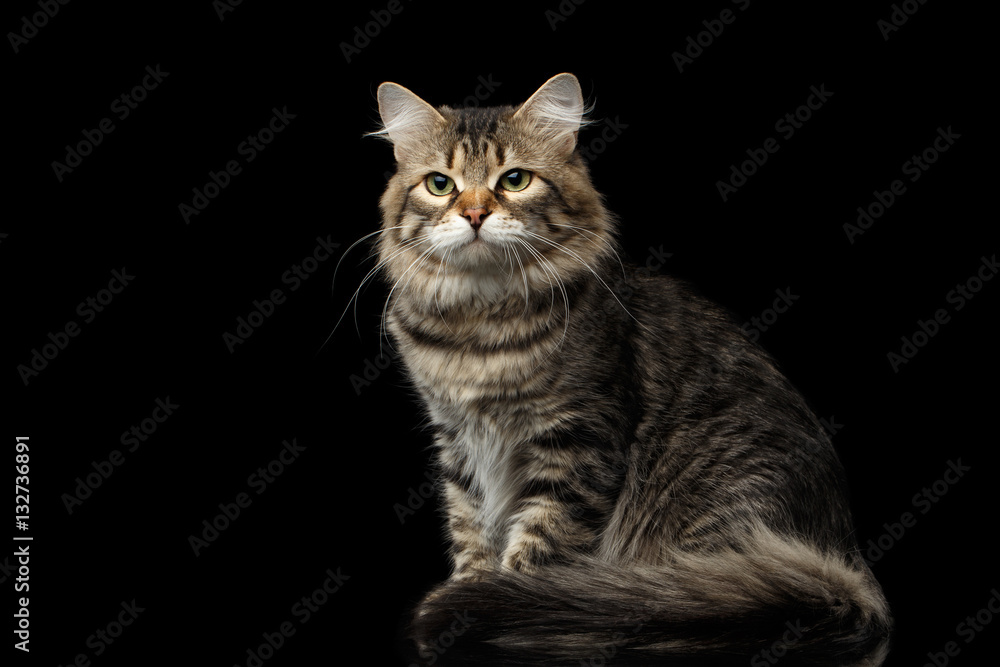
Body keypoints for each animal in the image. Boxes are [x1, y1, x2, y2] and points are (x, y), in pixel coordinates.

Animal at [368, 70, 892, 664]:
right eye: (440, 185)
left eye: (515, 180)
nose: (474, 215)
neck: (477, 330)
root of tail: (845, 562)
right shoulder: (458, 440)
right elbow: (471, 530)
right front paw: (471, 592)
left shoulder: (577, 445)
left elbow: (537, 550)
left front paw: (493, 605)